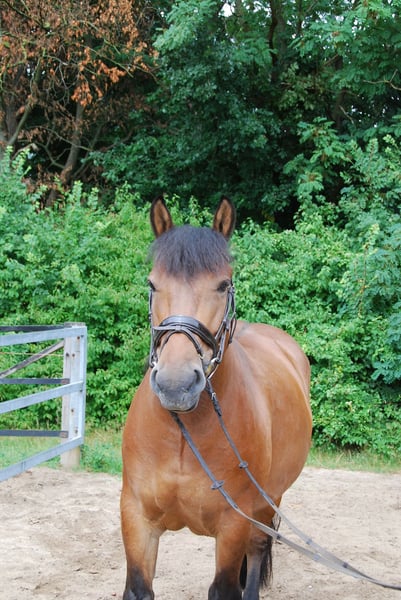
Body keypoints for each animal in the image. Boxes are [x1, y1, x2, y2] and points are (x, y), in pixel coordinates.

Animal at [121, 196, 312, 600]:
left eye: (223, 285)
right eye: (152, 283)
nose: (176, 385)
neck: (183, 437)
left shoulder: (232, 527)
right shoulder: (137, 519)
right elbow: (139, 587)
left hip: (268, 504)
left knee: (257, 551)